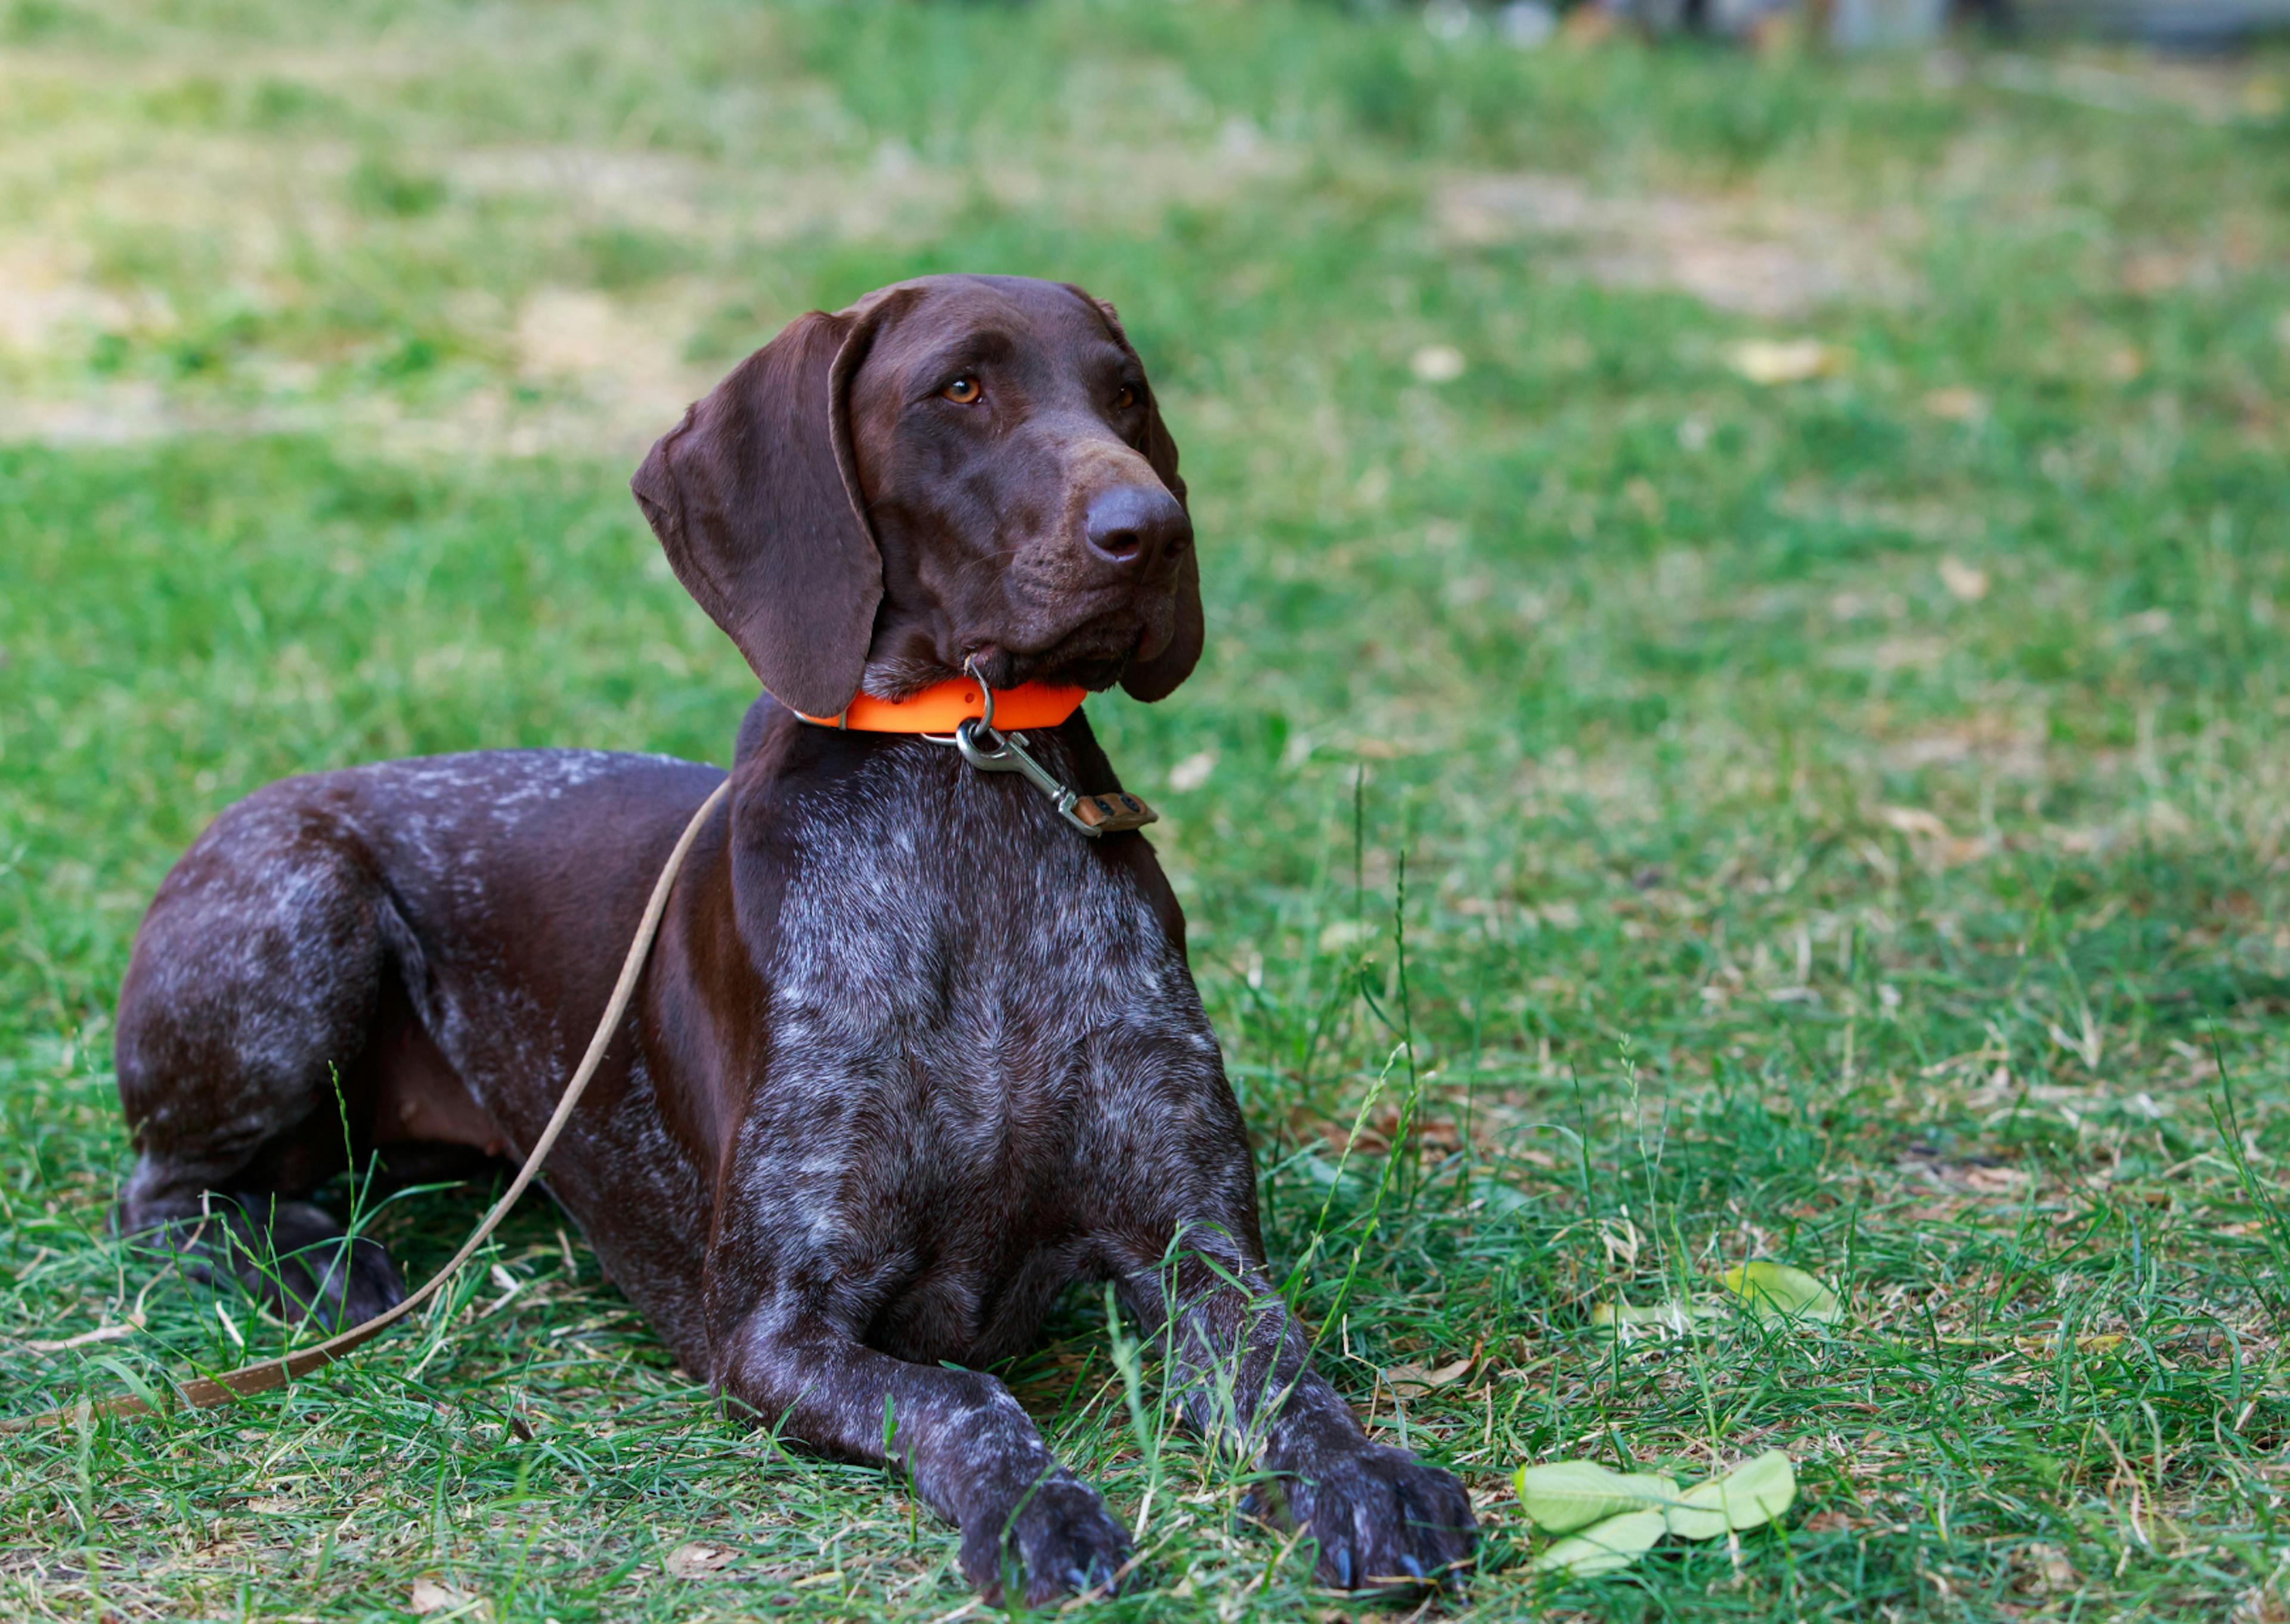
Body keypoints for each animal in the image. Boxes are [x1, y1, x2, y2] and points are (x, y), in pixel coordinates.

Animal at [116, 275, 1484, 1594]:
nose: (1152, 528)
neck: (966, 785)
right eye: (961, 388)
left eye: (1126, 393)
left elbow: (1292, 1376)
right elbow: (969, 1397)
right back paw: (306, 1263)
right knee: (160, 1191)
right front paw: (1035, 1510)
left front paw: (1368, 1476)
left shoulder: (1200, 1253)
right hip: (303, 905)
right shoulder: (775, 1326)